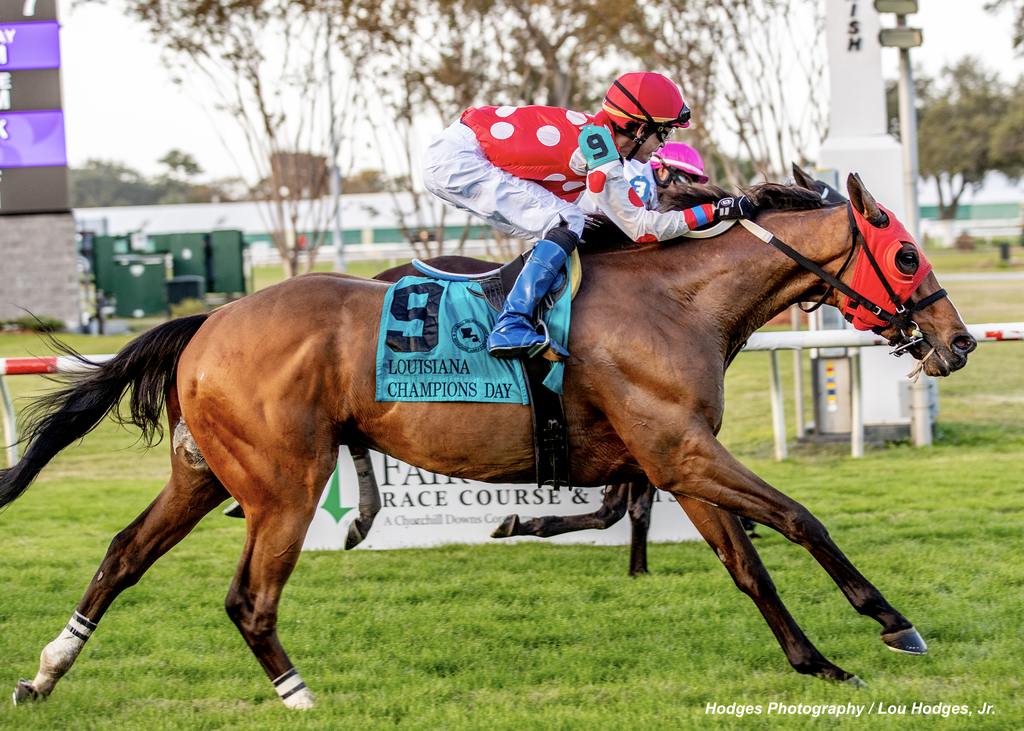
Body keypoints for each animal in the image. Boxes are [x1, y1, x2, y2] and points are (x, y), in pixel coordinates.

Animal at [0, 172, 974, 704]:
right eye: (909, 256)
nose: (958, 341)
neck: (677, 298)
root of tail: (208, 320)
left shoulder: (677, 460)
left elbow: (748, 565)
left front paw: (818, 663)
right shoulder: (682, 451)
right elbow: (802, 518)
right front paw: (893, 623)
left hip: (204, 473)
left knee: (123, 553)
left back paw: (45, 671)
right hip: (284, 483)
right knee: (250, 598)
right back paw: (301, 693)